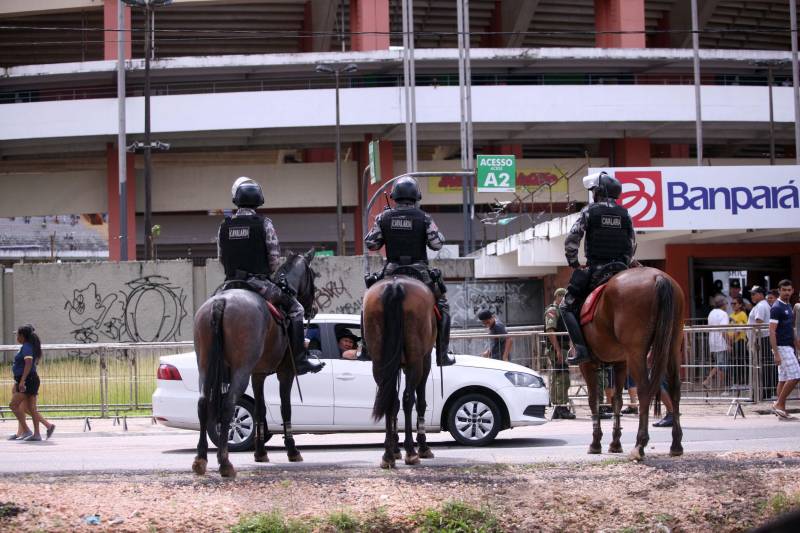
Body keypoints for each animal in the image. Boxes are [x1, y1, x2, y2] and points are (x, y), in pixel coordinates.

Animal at [192, 249, 318, 478]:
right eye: (313, 275)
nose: (313, 308)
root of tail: (221, 302)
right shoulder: (285, 373)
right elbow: (286, 408)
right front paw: (292, 450)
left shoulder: (257, 374)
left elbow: (260, 409)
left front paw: (260, 453)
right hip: (240, 371)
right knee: (228, 404)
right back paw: (225, 462)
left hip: (205, 367)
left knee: (203, 403)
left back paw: (201, 459)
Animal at [364, 276, 438, 468]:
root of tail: (395, 285)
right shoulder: (426, 360)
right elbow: (420, 402)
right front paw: (422, 446)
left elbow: (393, 403)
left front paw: (395, 447)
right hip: (415, 361)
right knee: (408, 398)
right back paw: (411, 452)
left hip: (379, 362)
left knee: (389, 399)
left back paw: (388, 455)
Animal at [580, 268, 684, 460]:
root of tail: (658, 276)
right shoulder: (620, 363)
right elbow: (617, 400)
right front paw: (615, 443)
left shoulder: (587, 364)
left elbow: (593, 400)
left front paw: (596, 442)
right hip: (672, 346)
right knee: (674, 388)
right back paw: (676, 445)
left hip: (636, 353)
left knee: (644, 389)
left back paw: (639, 445)